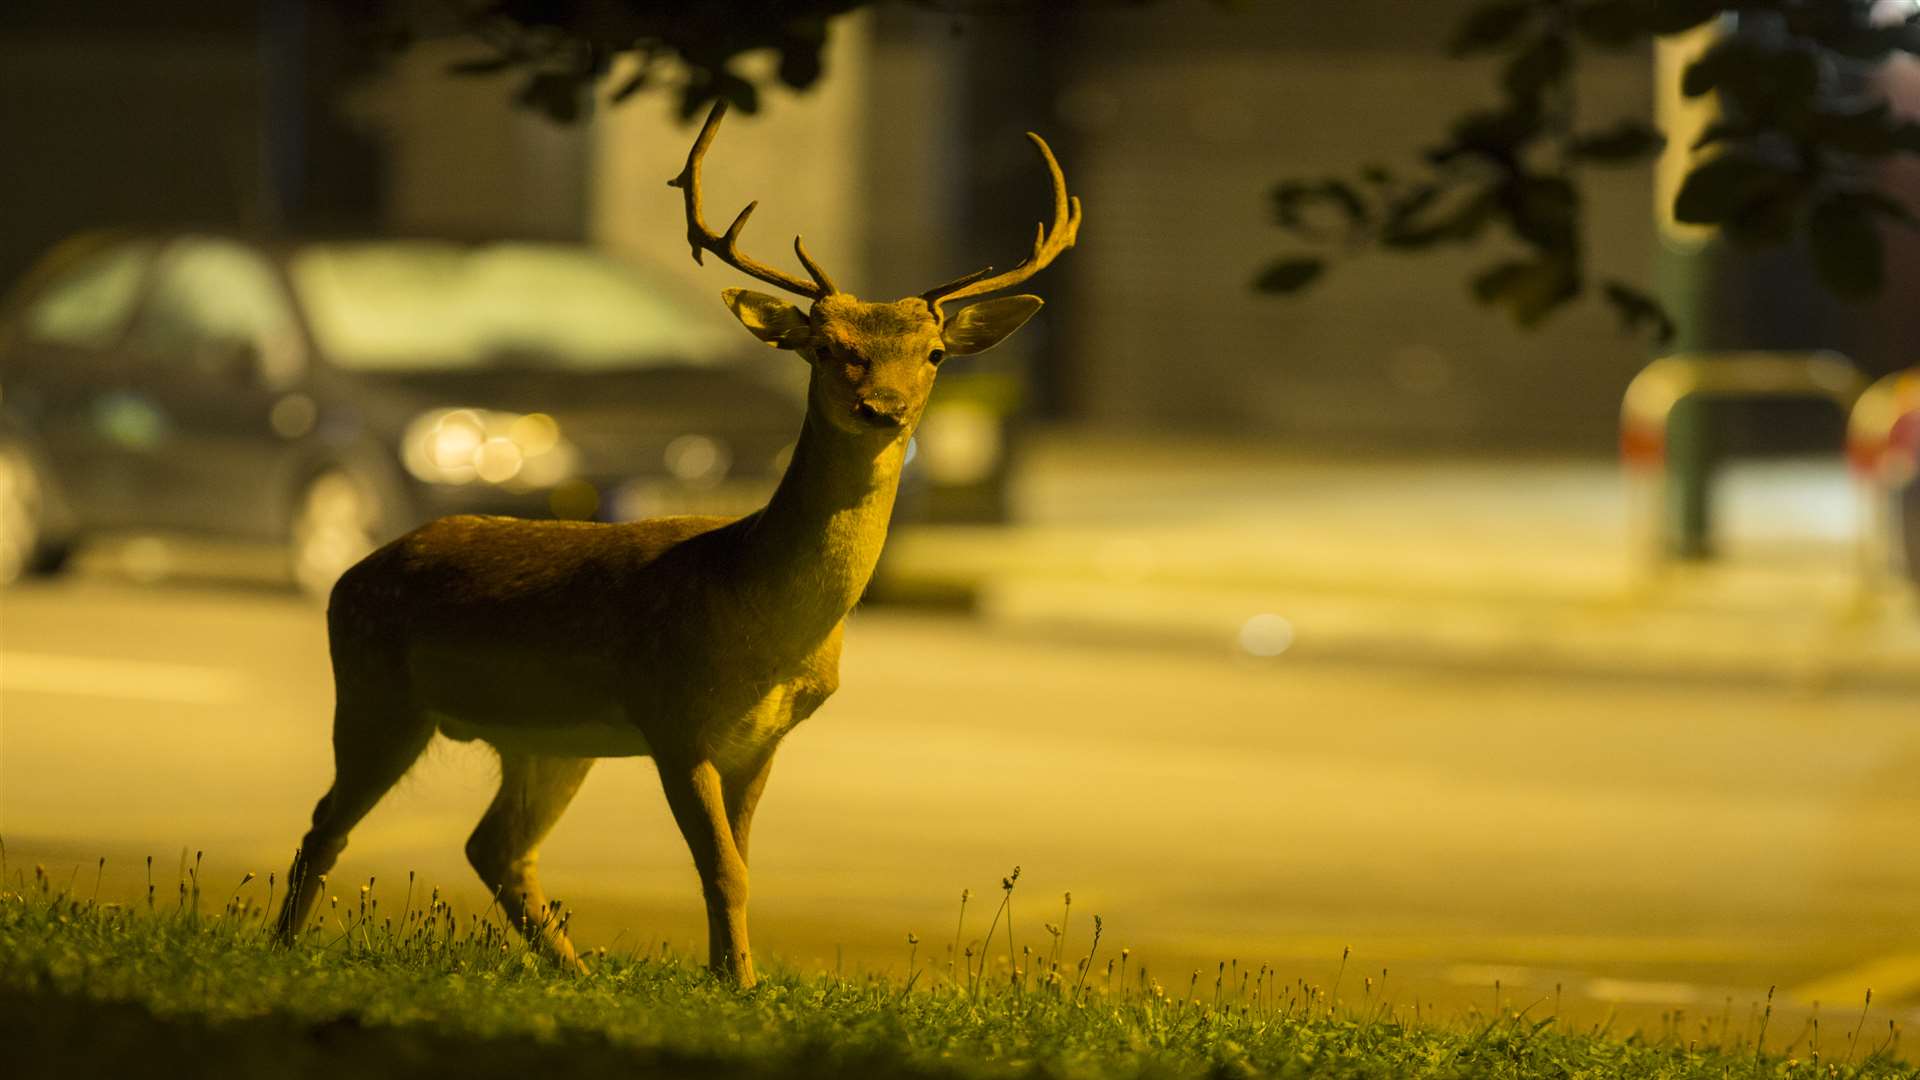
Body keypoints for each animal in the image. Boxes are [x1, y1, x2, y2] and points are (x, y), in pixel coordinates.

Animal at [270, 100, 1082, 983]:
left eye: (933, 352)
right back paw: (283, 947)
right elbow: (721, 867)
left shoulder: (760, 742)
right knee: (326, 825)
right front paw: (739, 982)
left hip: (543, 739)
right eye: (829, 347)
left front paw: (732, 978)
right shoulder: (675, 716)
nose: (885, 409)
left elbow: (742, 863)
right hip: (376, 691)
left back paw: (577, 972)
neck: (758, 614)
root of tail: (354, 571)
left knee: (494, 848)